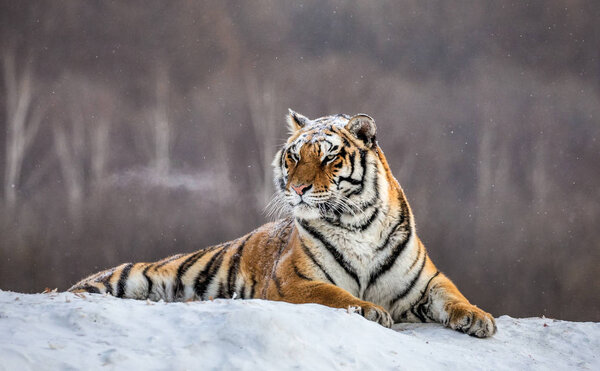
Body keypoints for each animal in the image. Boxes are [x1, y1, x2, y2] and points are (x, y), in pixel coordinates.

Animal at [69, 109, 496, 338]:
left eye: (328, 157)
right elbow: (334, 295)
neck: (358, 222)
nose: (298, 188)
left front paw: (479, 319)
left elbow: (453, 295)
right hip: (125, 278)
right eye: (293, 156)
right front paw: (371, 311)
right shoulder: (291, 280)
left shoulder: (425, 281)